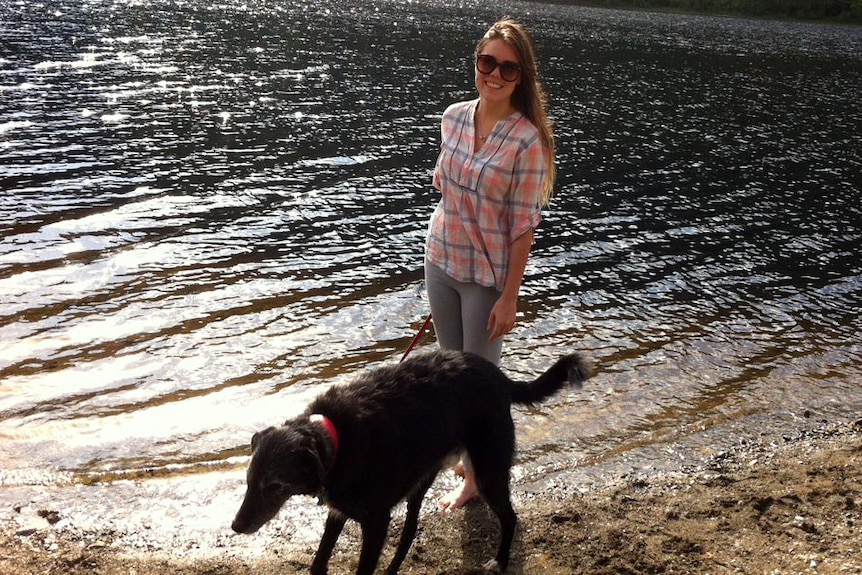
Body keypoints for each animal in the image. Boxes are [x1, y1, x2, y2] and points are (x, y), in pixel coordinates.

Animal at [230, 348, 592, 572]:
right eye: (248, 481)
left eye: (275, 486)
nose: (236, 527)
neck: (334, 441)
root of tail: (500, 377)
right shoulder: (339, 512)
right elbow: (319, 562)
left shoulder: (375, 522)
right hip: (422, 478)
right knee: (410, 530)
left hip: (488, 471)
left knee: (510, 516)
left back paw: (500, 562)